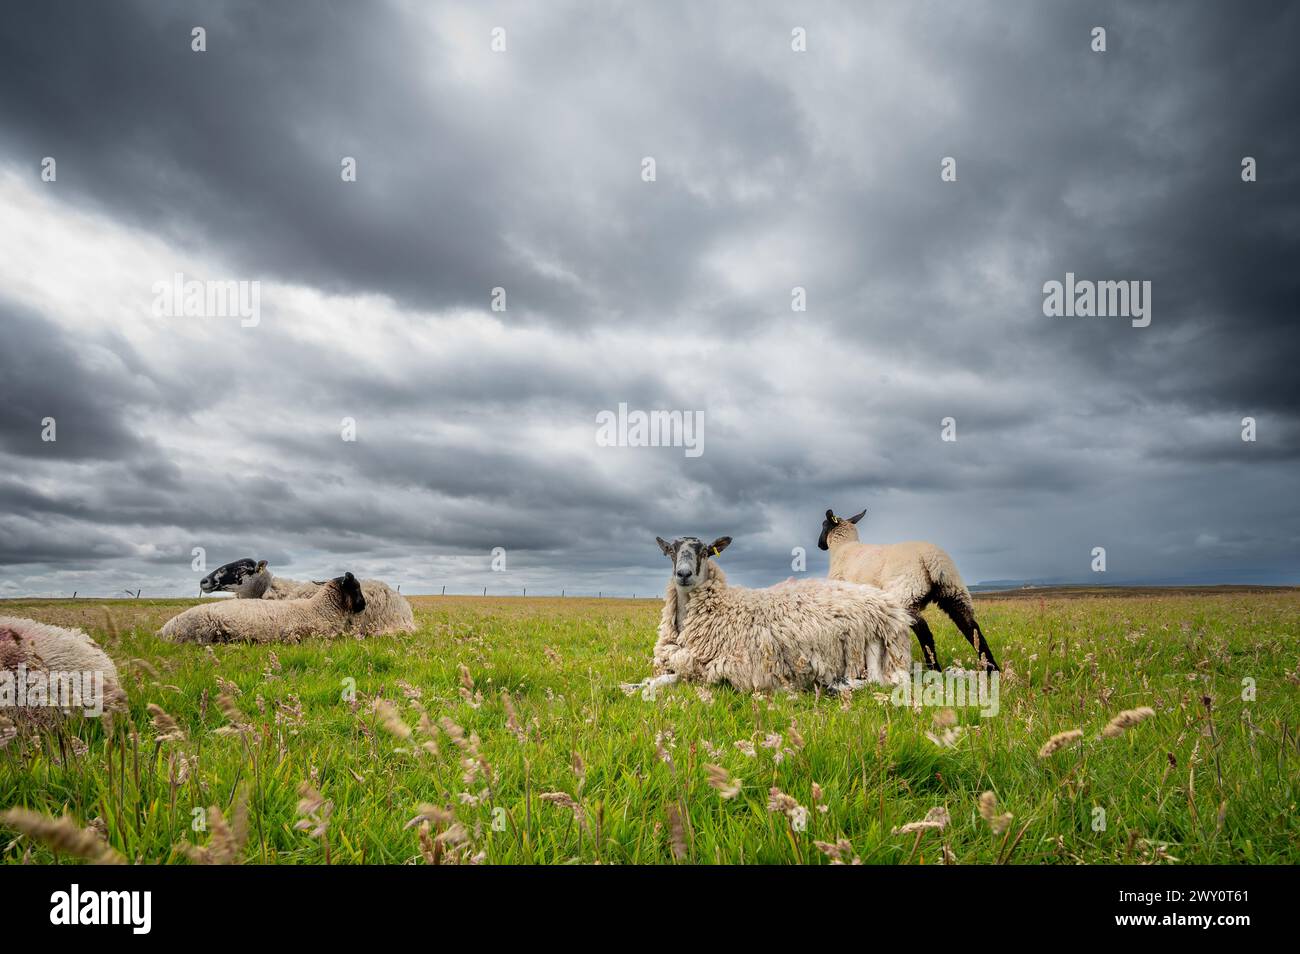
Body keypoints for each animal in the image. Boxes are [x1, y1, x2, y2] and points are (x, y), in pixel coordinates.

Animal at [622, 535, 914, 696]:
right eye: (670, 551)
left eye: (705, 551)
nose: (683, 574)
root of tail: (891, 606)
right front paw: (629, 687)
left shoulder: (708, 670)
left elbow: (669, 681)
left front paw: (645, 688)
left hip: (873, 644)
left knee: (883, 682)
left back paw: (836, 686)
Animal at [818, 508, 999, 672]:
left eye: (824, 524)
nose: (820, 545)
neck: (843, 548)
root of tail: (930, 557)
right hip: (954, 592)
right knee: (971, 628)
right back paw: (992, 668)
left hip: (906, 595)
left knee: (925, 631)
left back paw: (934, 668)